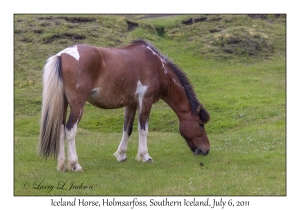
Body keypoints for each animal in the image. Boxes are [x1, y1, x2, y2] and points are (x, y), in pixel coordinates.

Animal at [38, 39, 210, 172]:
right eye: (200, 124)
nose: (206, 150)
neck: (157, 67)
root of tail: (62, 55)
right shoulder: (145, 101)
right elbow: (143, 129)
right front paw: (145, 156)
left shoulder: (131, 104)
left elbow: (127, 129)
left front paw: (121, 155)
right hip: (77, 106)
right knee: (70, 130)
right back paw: (75, 165)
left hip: (63, 105)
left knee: (61, 129)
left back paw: (62, 165)